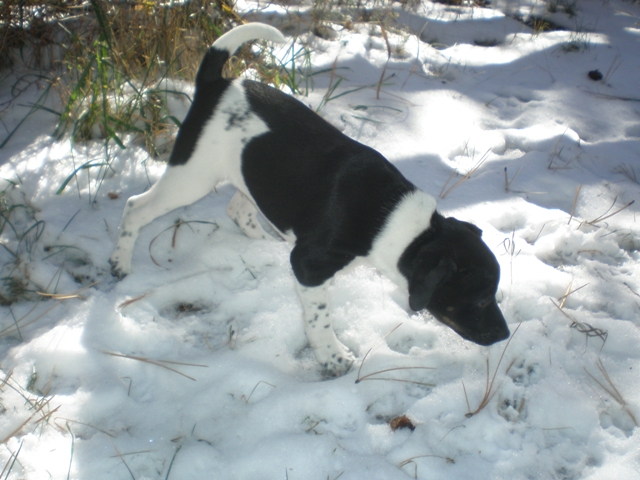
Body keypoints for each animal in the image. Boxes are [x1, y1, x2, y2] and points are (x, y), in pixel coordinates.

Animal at [110, 22, 510, 376]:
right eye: (480, 299)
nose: (505, 334)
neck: (401, 223)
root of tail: (217, 84)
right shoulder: (309, 264)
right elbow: (319, 317)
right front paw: (332, 356)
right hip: (192, 176)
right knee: (135, 207)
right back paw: (120, 263)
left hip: (251, 174)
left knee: (239, 209)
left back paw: (265, 243)